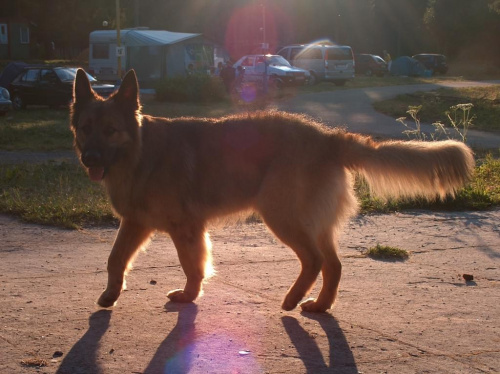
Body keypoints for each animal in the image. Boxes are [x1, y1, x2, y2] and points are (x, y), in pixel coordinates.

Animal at [69, 69, 472, 312]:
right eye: (85, 128)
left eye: (110, 130)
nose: (90, 159)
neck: (140, 153)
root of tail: (329, 137)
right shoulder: (135, 224)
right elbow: (115, 259)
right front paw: (110, 295)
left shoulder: (186, 229)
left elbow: (192, 265)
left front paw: (189, 295)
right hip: (314, 224)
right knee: (334, 264)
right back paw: (319, 305)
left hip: (281, 217)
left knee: (314, 261)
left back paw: (292, 299)